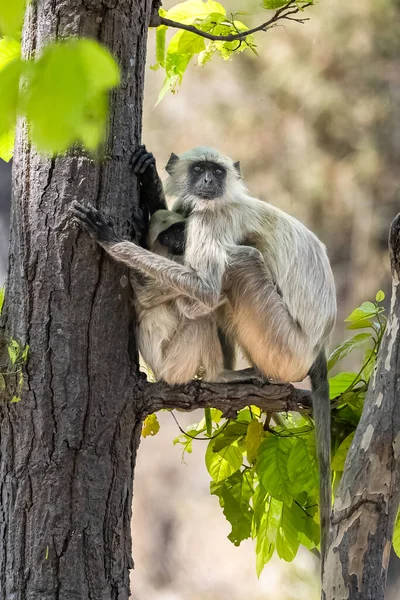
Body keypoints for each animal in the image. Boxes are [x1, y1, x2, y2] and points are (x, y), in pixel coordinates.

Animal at [71, 145, 334, 572]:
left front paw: (111, 240)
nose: (208, 182)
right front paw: (148, 176)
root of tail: (319, 342)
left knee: (238, 263)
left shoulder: (207, 220)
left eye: (216, 172)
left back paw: (221, 376)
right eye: (199, 170)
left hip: (283, 346)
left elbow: (208, 290)